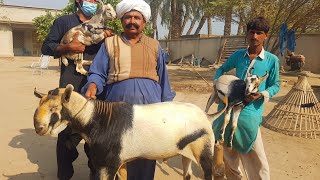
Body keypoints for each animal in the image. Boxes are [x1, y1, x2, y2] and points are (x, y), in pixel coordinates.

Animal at [32, 84, 228, 180]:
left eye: (54, 108)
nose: (39, 127)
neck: (97, 118)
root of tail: (206, 116)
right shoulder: (120, 163)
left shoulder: (107, 165)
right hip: (186, 152)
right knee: (187, 175)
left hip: (204, 152)